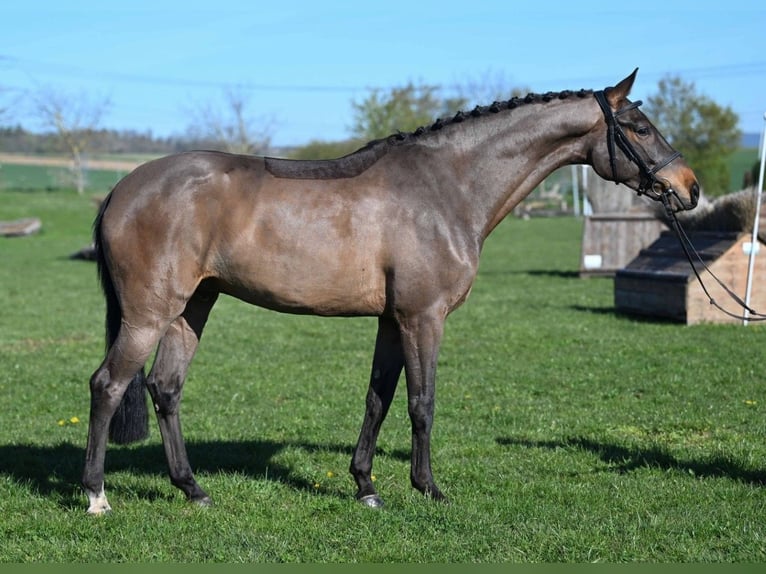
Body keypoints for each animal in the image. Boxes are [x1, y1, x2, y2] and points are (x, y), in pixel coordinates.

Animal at [82, 69, 699, 514]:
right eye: (640, 128)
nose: (689, 187)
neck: (447, 186)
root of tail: (123, 187)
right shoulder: (423, 317)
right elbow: (421, 403)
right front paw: (429, 489)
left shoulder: (390, 319)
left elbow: (377, 398)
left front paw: (366, 487)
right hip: (149, 314)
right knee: (107, 385)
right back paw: (96, 495)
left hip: (193, 307)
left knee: (165, 388)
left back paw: (194, 490)